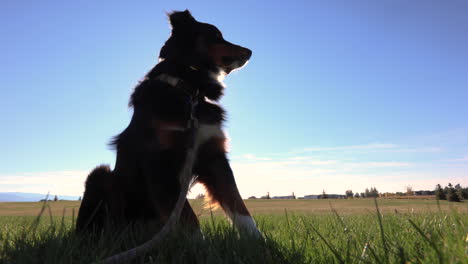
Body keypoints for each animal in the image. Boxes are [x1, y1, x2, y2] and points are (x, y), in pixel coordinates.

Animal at [75, 9, 262, 237]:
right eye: (216, 36)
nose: (250, 52)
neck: (188, 91)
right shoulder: (159, 162)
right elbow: (188, 219)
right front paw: (197, 244)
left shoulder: (213, 156)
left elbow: (238, 205)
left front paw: (259, 241)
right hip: (100, 176)